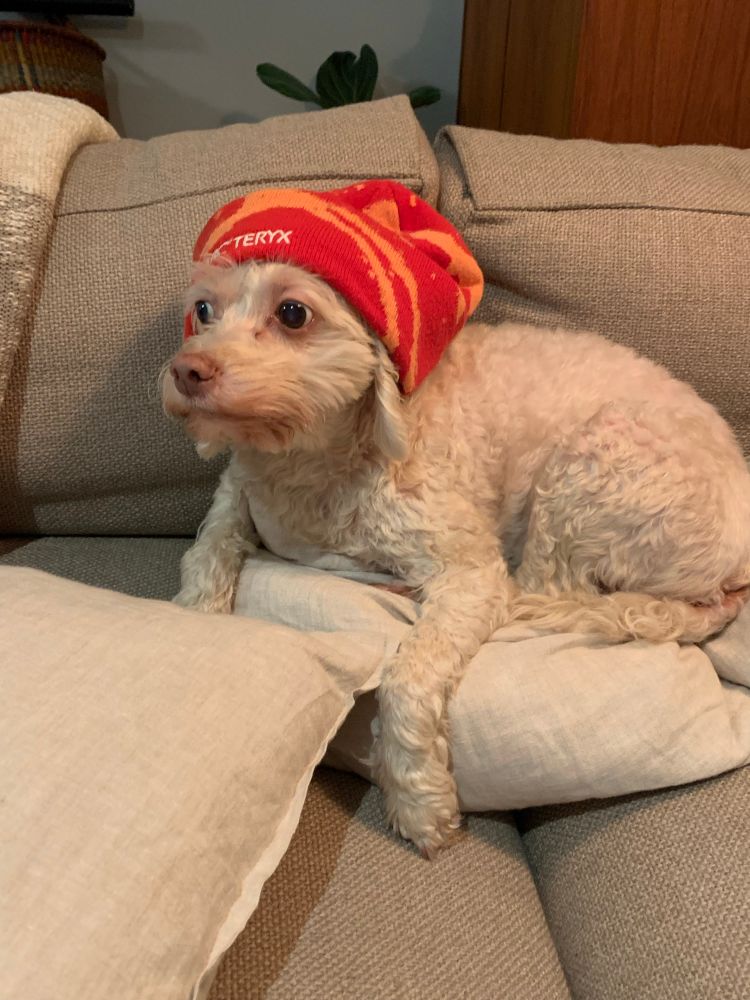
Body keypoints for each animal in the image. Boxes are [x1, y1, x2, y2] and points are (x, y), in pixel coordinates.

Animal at [162, 182, 750, 857]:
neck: (318, 462)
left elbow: (407, 677)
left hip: (591, 466)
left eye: (292, 314)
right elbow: (205, 552)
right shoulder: (237, 496)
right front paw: (199, 622)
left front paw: (418, 802)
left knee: (549, 589)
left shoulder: (471, 573)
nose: (187, 371)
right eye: (204, 310)